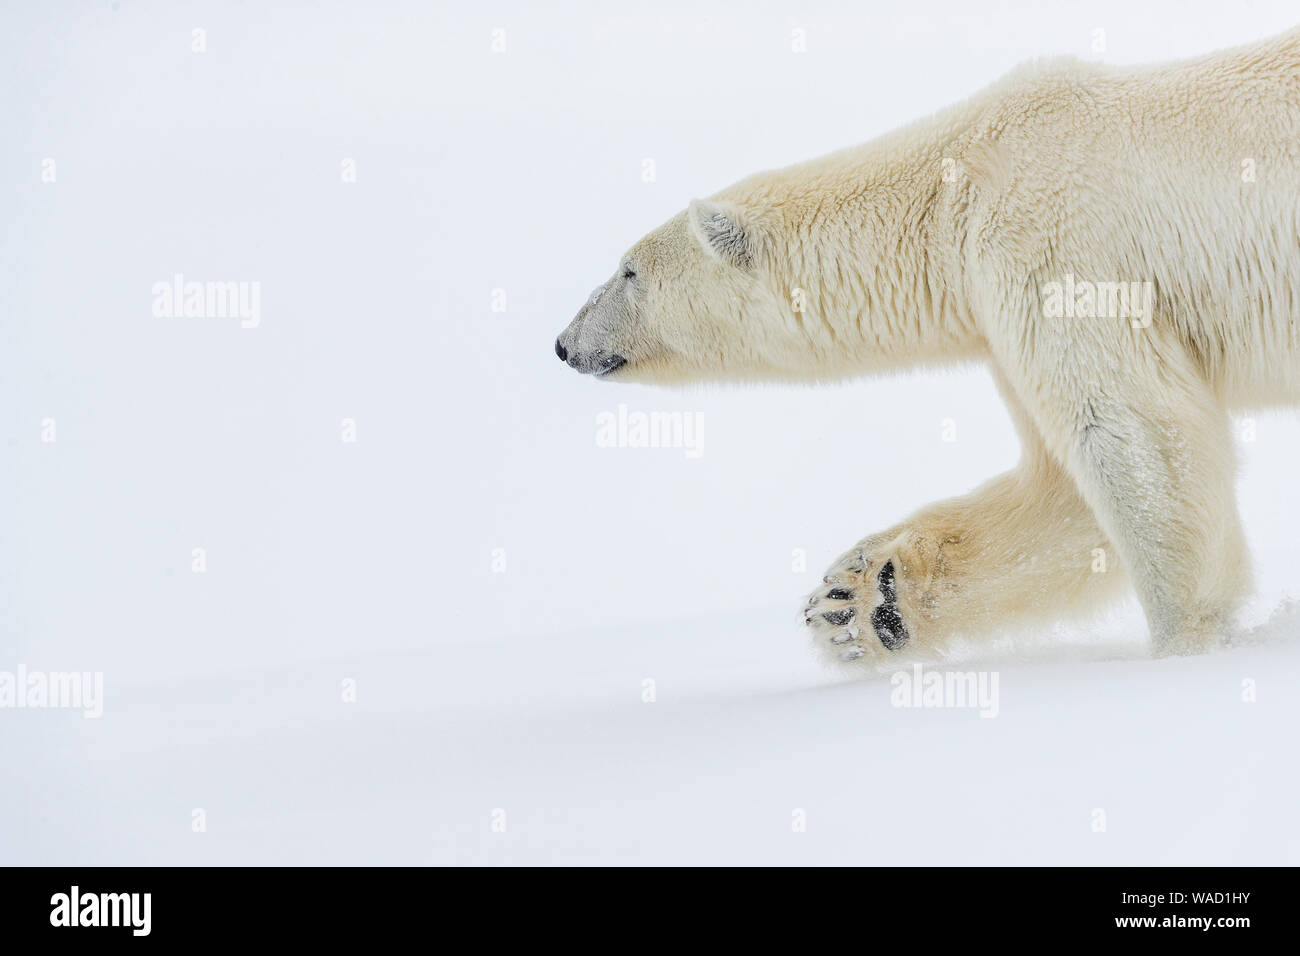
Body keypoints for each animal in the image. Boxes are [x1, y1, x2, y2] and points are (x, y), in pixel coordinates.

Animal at [554, 27, 1300, 665]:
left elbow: (1131, 428)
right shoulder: (1004, 315)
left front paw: (1185, 644)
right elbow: (1062, 491)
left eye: (628, 272)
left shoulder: (1052, 254)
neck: (952, 194)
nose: (565, 343)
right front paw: (858, 603)